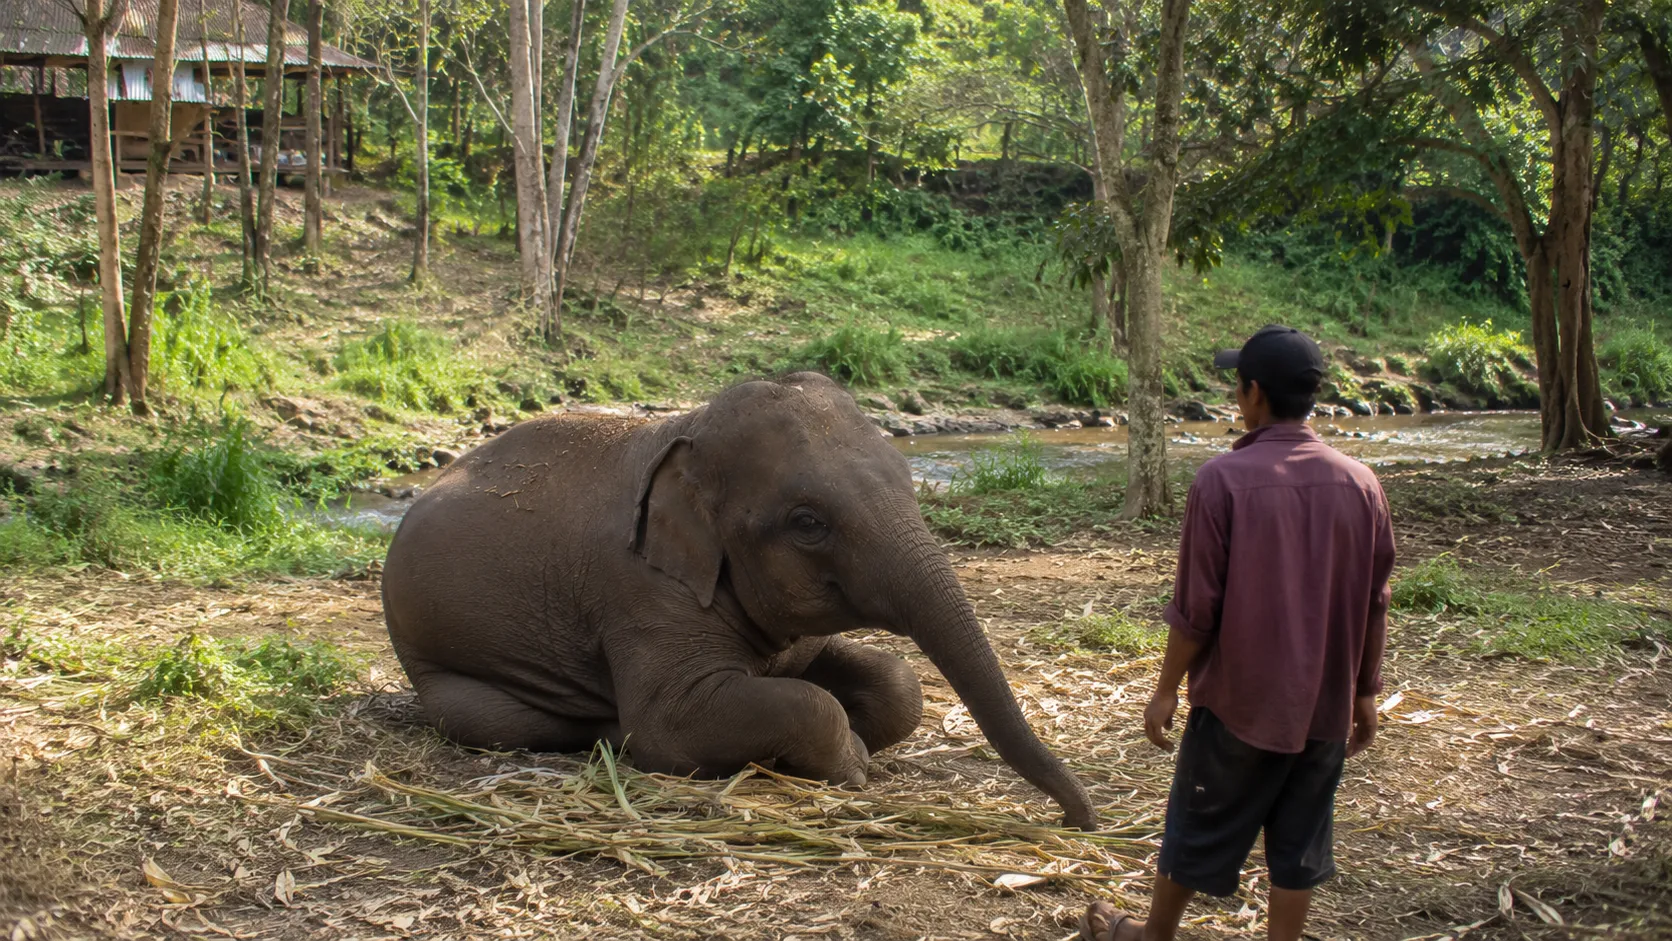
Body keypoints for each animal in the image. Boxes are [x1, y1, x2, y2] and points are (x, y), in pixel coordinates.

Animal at [381, 372, 1097, 829]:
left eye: (908, 480)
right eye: (808, 522)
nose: (1080, 819)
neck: (685, 429)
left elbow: (891, 681)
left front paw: (858, 726)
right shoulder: (642, 594)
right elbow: (670, 723)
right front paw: (851, 761)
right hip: (442, 673)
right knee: (502, 722)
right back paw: (604, 735)